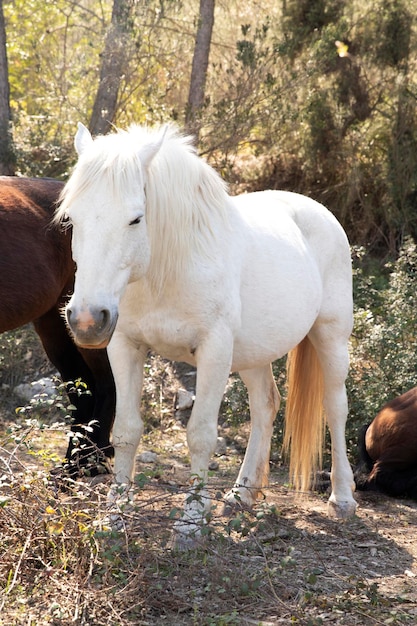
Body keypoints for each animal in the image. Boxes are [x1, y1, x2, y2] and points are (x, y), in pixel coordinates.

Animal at [56, 120, 358, 540]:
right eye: (71, 219)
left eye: (136, 219)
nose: (87, 320)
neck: (169, 269)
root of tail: (318, 211)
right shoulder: (125, 346)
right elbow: (128, 431)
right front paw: (115, 515)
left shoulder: (214, 351)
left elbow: (200, 434)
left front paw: (191, 521)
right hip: (252, 353)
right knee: (266, 405)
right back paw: (242, 494)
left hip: (330, 337)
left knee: (335, 407)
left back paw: (342, 497)